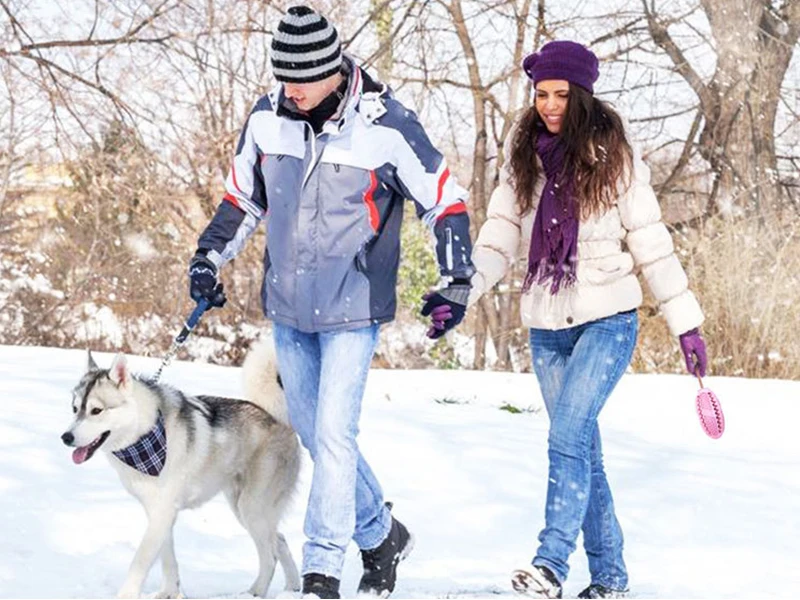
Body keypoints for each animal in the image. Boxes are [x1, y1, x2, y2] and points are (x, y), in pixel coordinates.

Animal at [60, 340, 300, 596]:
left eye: (96, 410)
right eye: (74, 408)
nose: (66, 437)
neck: (144, 434)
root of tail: (277, 417)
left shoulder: (162, 512)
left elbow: (140, 562)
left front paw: (128, 595)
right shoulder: (159, 512)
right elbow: (168, 560)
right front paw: (169, 593)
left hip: (252, 508)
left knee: (270, 557)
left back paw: (253, 593)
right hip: (244, 508)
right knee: (280, 540)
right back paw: (293, 587)